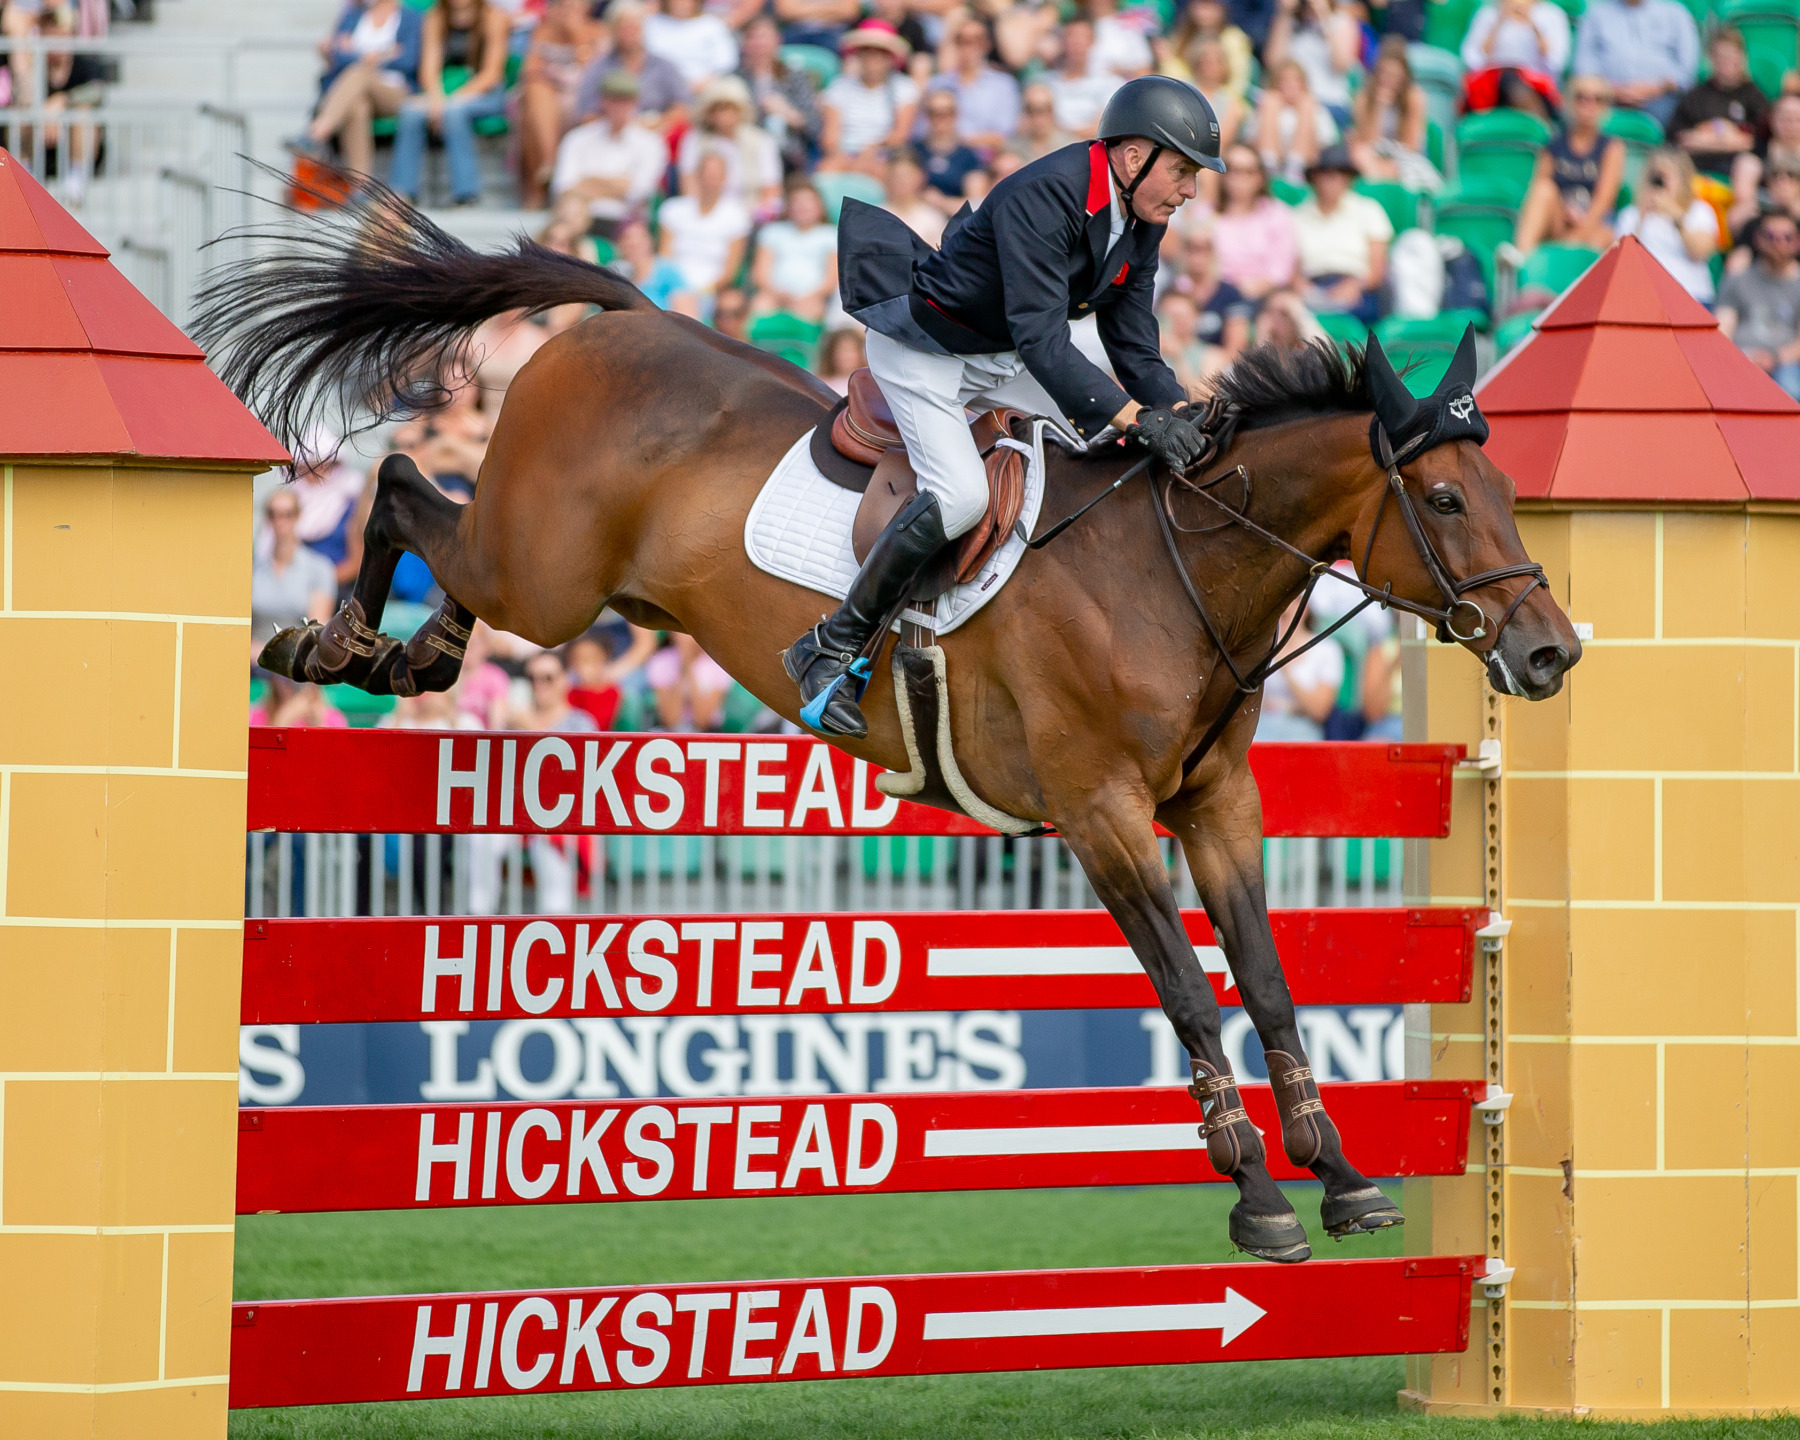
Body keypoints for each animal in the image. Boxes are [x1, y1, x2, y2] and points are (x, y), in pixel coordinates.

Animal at [197, 190, 1576, 1260]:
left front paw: (1339, 1177)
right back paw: (336, 644)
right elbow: (1189, 988)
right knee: (401, 488)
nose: (1549, 652)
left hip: (576, 587)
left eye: (1512, 490)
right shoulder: (1103, 815)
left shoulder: (1215, 803)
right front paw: (1255, 1193)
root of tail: (626, 318)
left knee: (437, 535)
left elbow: (1272, 982)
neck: (1175, 566)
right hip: (546, 579)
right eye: (1445, 499)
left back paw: (411, 651)